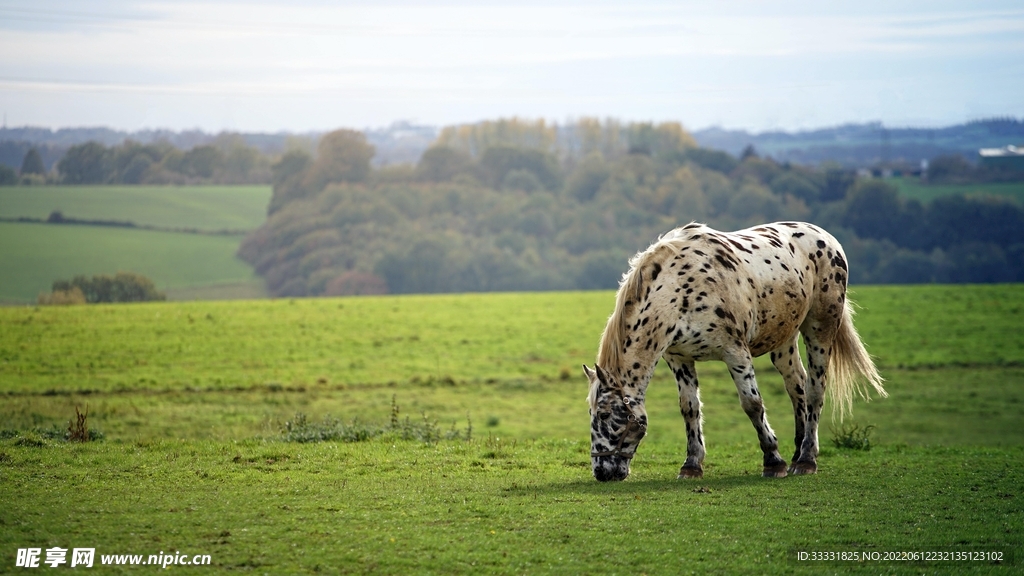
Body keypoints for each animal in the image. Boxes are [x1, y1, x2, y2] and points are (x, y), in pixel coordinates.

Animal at [589, 220, 884, 479]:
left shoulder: (735, 352)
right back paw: (797, 454)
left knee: (815, 390)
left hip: (819, 329)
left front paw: (773, 461)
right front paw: (691, 465)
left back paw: (807, 459)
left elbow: (752, 404)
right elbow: (689, 408)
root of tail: (828, 238)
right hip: (784, 340)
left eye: (604, 414)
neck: (680, 290)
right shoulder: (679, 358)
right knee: (796, 386)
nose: (601, 472)